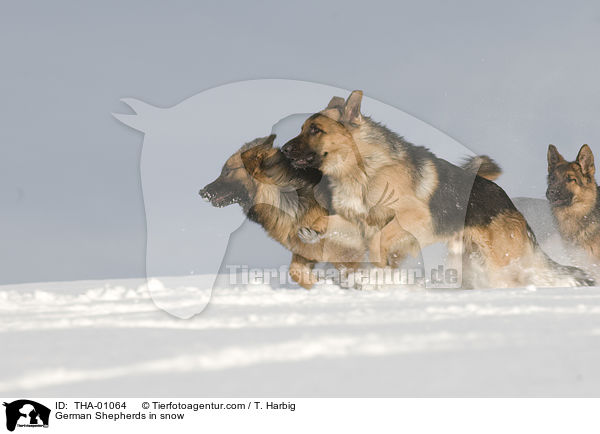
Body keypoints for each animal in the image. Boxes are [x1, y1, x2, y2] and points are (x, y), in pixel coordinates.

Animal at [199, 134, 364, 286]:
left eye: (227, 171)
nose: (201, 192)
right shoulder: (305, 250)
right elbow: (295, 271)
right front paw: (318, 285)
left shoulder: (344, 251)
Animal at [284, 91, 592, 288]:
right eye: (302, 128)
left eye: (315, 130)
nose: (284, 150)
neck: (363, 169)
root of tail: (509, 204)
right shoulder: (354, 220)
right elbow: (326, 224)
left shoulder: (414, 218)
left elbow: (377, 241)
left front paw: (379, 273)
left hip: (499, 263)